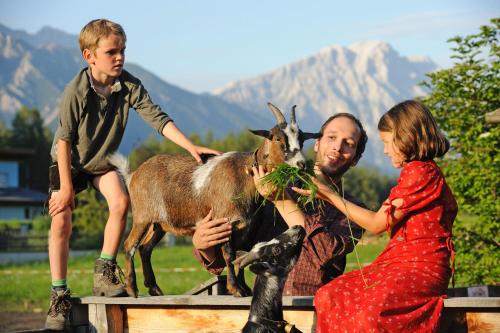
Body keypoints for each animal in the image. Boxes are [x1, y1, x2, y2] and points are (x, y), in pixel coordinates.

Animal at [111, 102, 318, 296]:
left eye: (301, 139)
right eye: (277, 138)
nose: (300, 163)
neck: (244, 176)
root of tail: (133, 175)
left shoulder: (244, 228)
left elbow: (240, 256)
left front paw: (244, 288)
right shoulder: (225, 222)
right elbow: (229, 255)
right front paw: (236, 289)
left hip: (159, 224)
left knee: (145, 249)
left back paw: (154, 288)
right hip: (142, 217)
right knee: (129, 245)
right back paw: (132, 288)